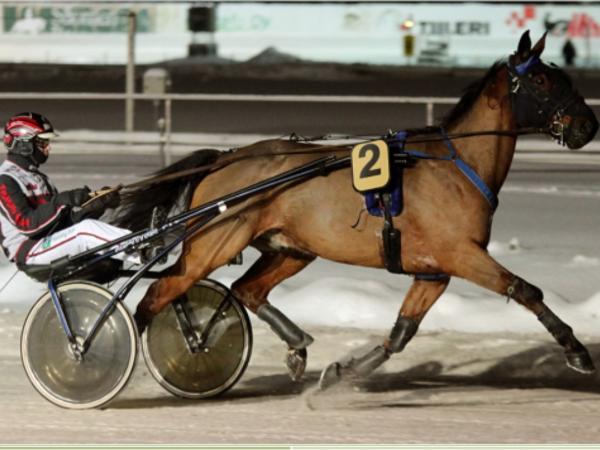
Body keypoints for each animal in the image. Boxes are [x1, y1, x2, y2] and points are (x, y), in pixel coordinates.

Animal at [115, 31, 598, 389]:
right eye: (542, 82)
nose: (587, 125)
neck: (457, 163)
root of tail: (224, 160)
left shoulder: (432, 271)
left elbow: (401, 334)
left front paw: (342, 372)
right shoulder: (462, 254)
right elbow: (525, 290)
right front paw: (576, 351)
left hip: (292, 248)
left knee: (247, 290)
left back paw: (297, 345)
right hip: (213, 245)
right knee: (156, 298)